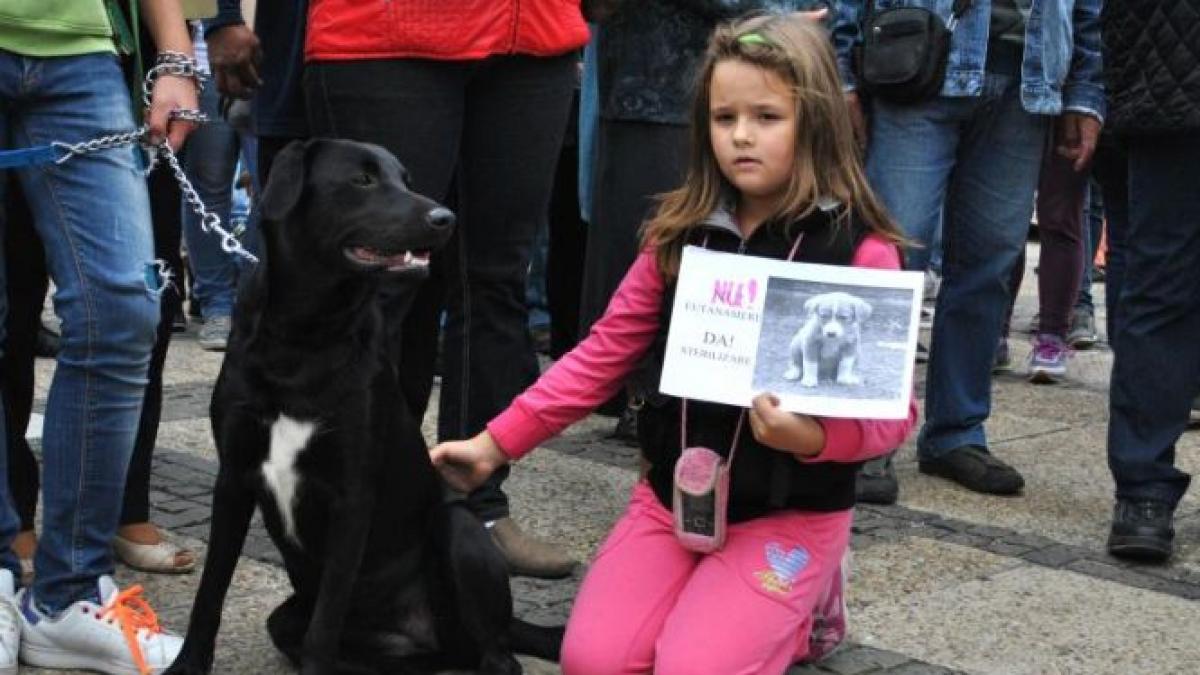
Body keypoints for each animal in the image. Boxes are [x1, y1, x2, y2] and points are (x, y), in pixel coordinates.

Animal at [166, 139, 559, 667]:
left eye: (405, 178)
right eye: (363, 180)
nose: (446, 217)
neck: (305, 336)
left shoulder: (351, 498)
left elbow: (324, 625)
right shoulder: (233, 479)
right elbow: (210, 593)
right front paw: (187, 663)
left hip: (459, 530)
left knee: (496, 655)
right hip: (292, 620)